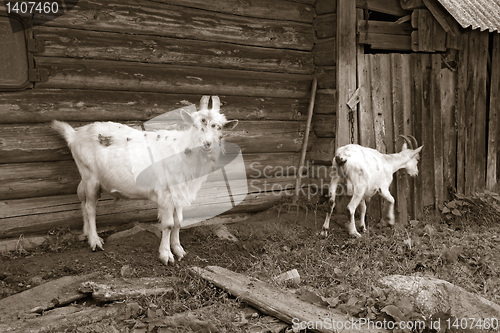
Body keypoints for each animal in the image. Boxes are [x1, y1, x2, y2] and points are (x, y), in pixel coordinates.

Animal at [52, 94, 238, 264]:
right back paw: (95, 241)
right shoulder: (166, 193)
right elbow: (169, 224)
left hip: (87, 178)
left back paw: (86, 233)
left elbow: (179, 222)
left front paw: (179, 249)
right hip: (90, 176)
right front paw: (166, 255)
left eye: (219, 127)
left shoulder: (180, 193)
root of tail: (74, 135)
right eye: (194, 124)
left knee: (83, 200)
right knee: (90, 207)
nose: (206, 144)